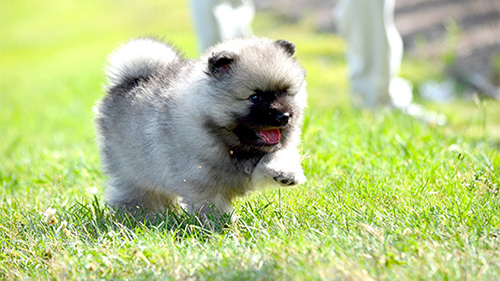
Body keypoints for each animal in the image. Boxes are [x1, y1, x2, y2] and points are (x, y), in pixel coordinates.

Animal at [93, 36, 304, 220]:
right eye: (255, 97)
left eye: (285, 92)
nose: (284, 116)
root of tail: (130, 80)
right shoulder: (202, 181)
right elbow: (213, 205)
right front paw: (222, 226)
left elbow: (279, 155)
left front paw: (286, 173)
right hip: (133, 172)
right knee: (135, 195)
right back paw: (140, 217)